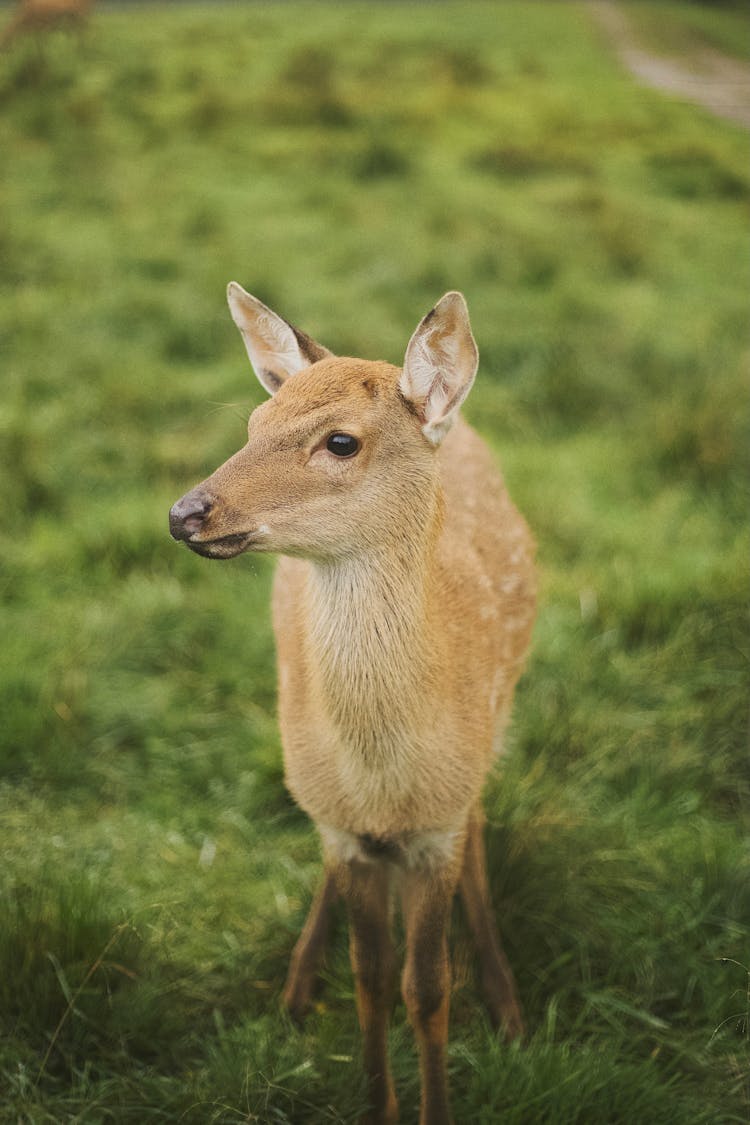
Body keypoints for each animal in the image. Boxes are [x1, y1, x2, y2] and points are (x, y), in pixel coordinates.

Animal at [168, 290, 539, 1125]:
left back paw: (505, 996)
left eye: (340, 441)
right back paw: (298, 984)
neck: (386, 782)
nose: (185, 512)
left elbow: (425, 986)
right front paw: (378, 1101)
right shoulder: (341, 824)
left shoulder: (436, 827)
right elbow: (371, 980)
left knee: (480, 822)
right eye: (253, 422)